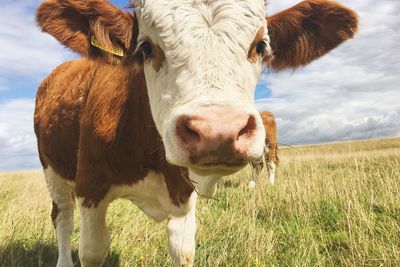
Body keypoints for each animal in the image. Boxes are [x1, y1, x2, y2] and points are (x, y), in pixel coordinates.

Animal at [34, 1, 358, 266]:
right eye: (146, 47)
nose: (218, 130)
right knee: (63, 217)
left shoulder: (184, 192)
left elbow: (183, 250)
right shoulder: (91, 186)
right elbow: (91, 250)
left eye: (261, 46)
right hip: (53, 170)